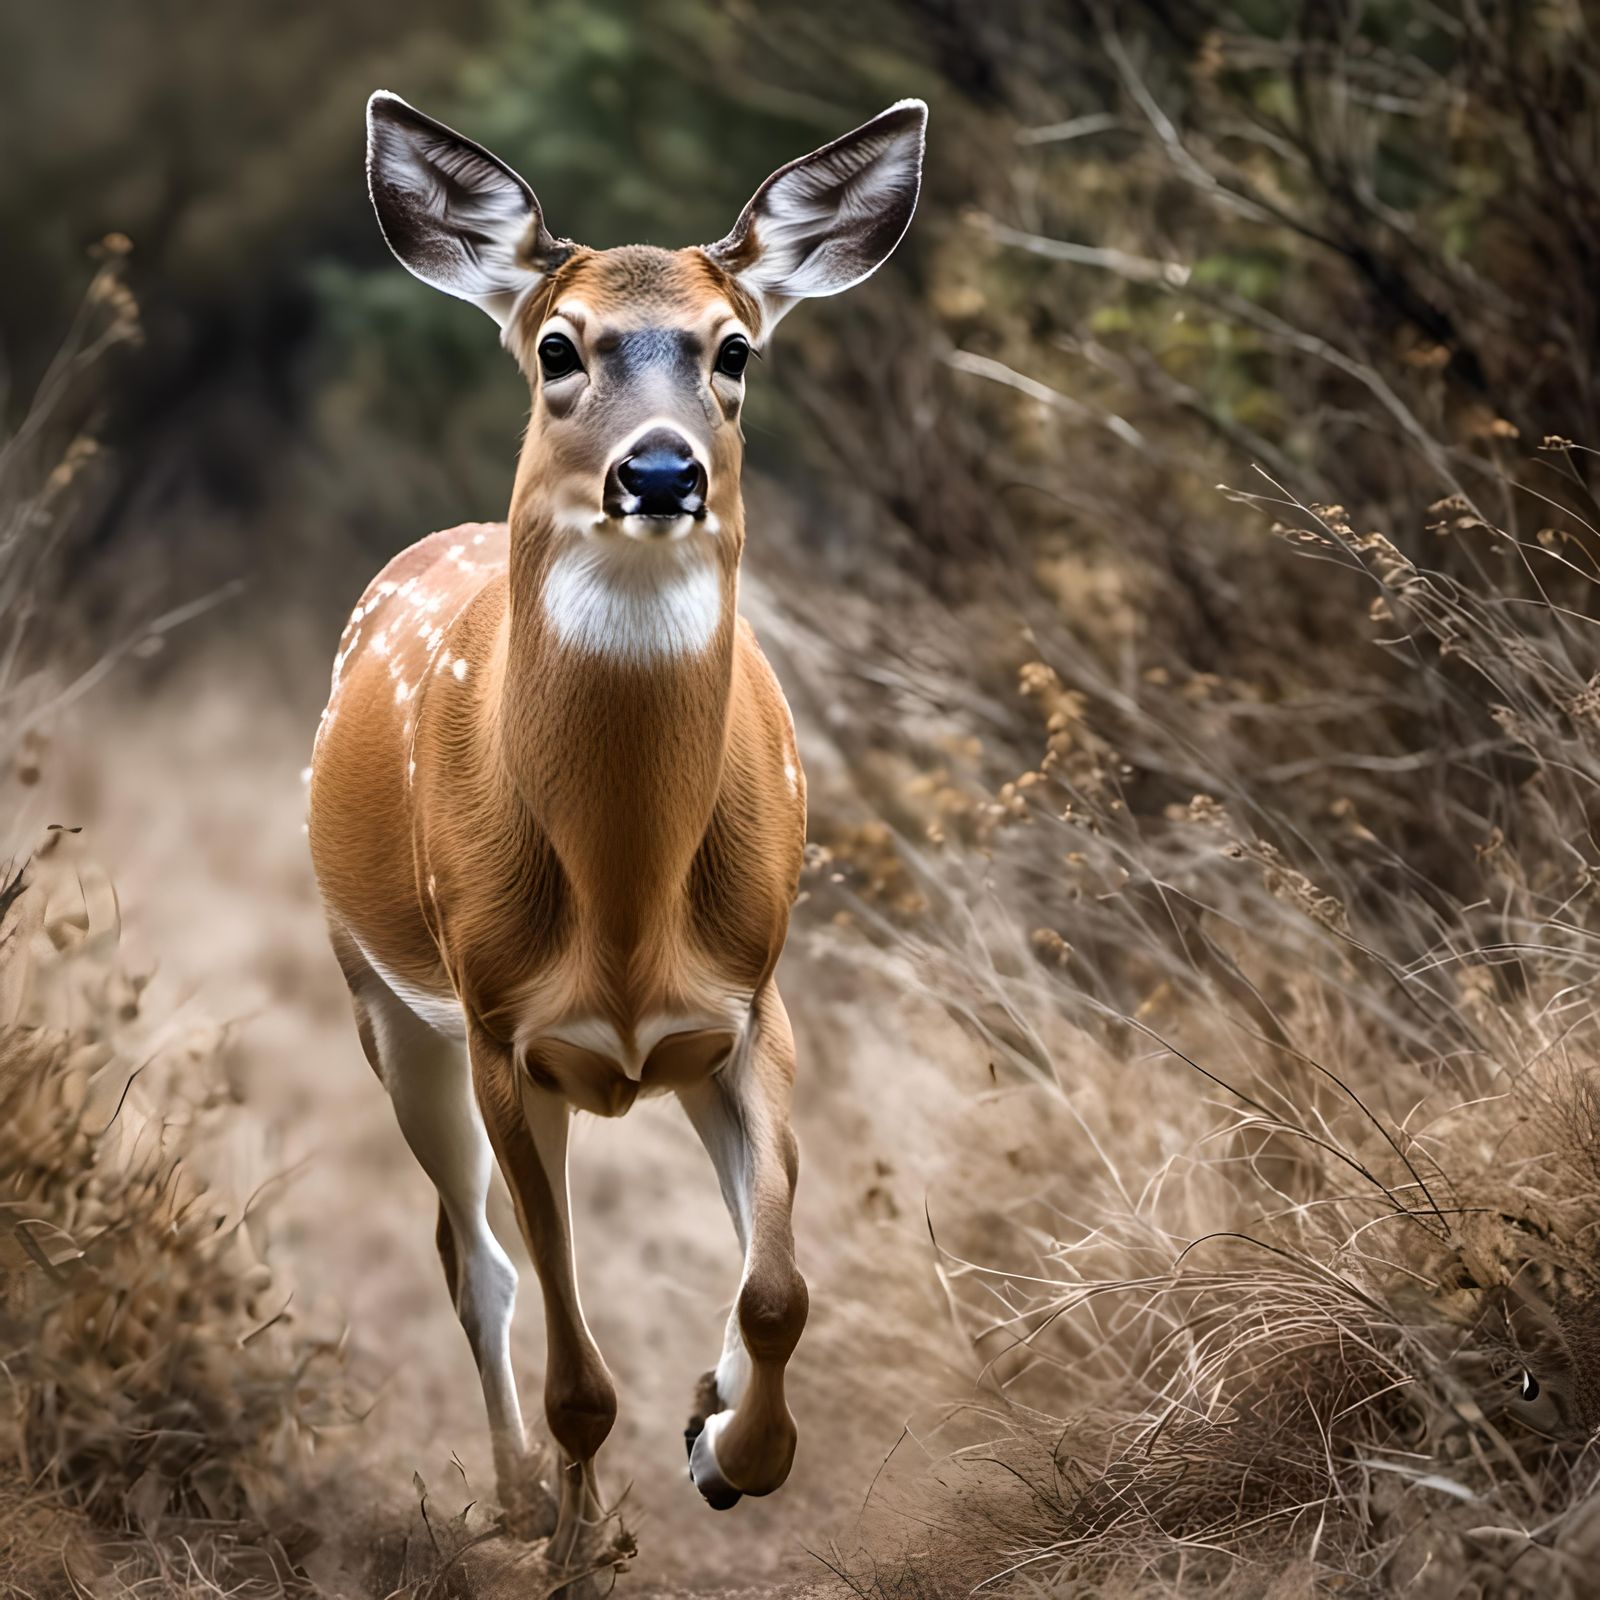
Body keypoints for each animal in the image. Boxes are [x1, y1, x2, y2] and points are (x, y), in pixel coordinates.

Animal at [307, 91, 927, 1567]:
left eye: (734, 349)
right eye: (557, 347)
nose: (658, 471)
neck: (629, 913)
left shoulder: (751, 1007)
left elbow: (778, 1288)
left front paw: (728, 1445)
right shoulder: (503, 1032)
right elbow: (578, 1372)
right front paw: (584, 1542)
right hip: (382, 1001)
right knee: (469, 1260)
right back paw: (519, 1496)